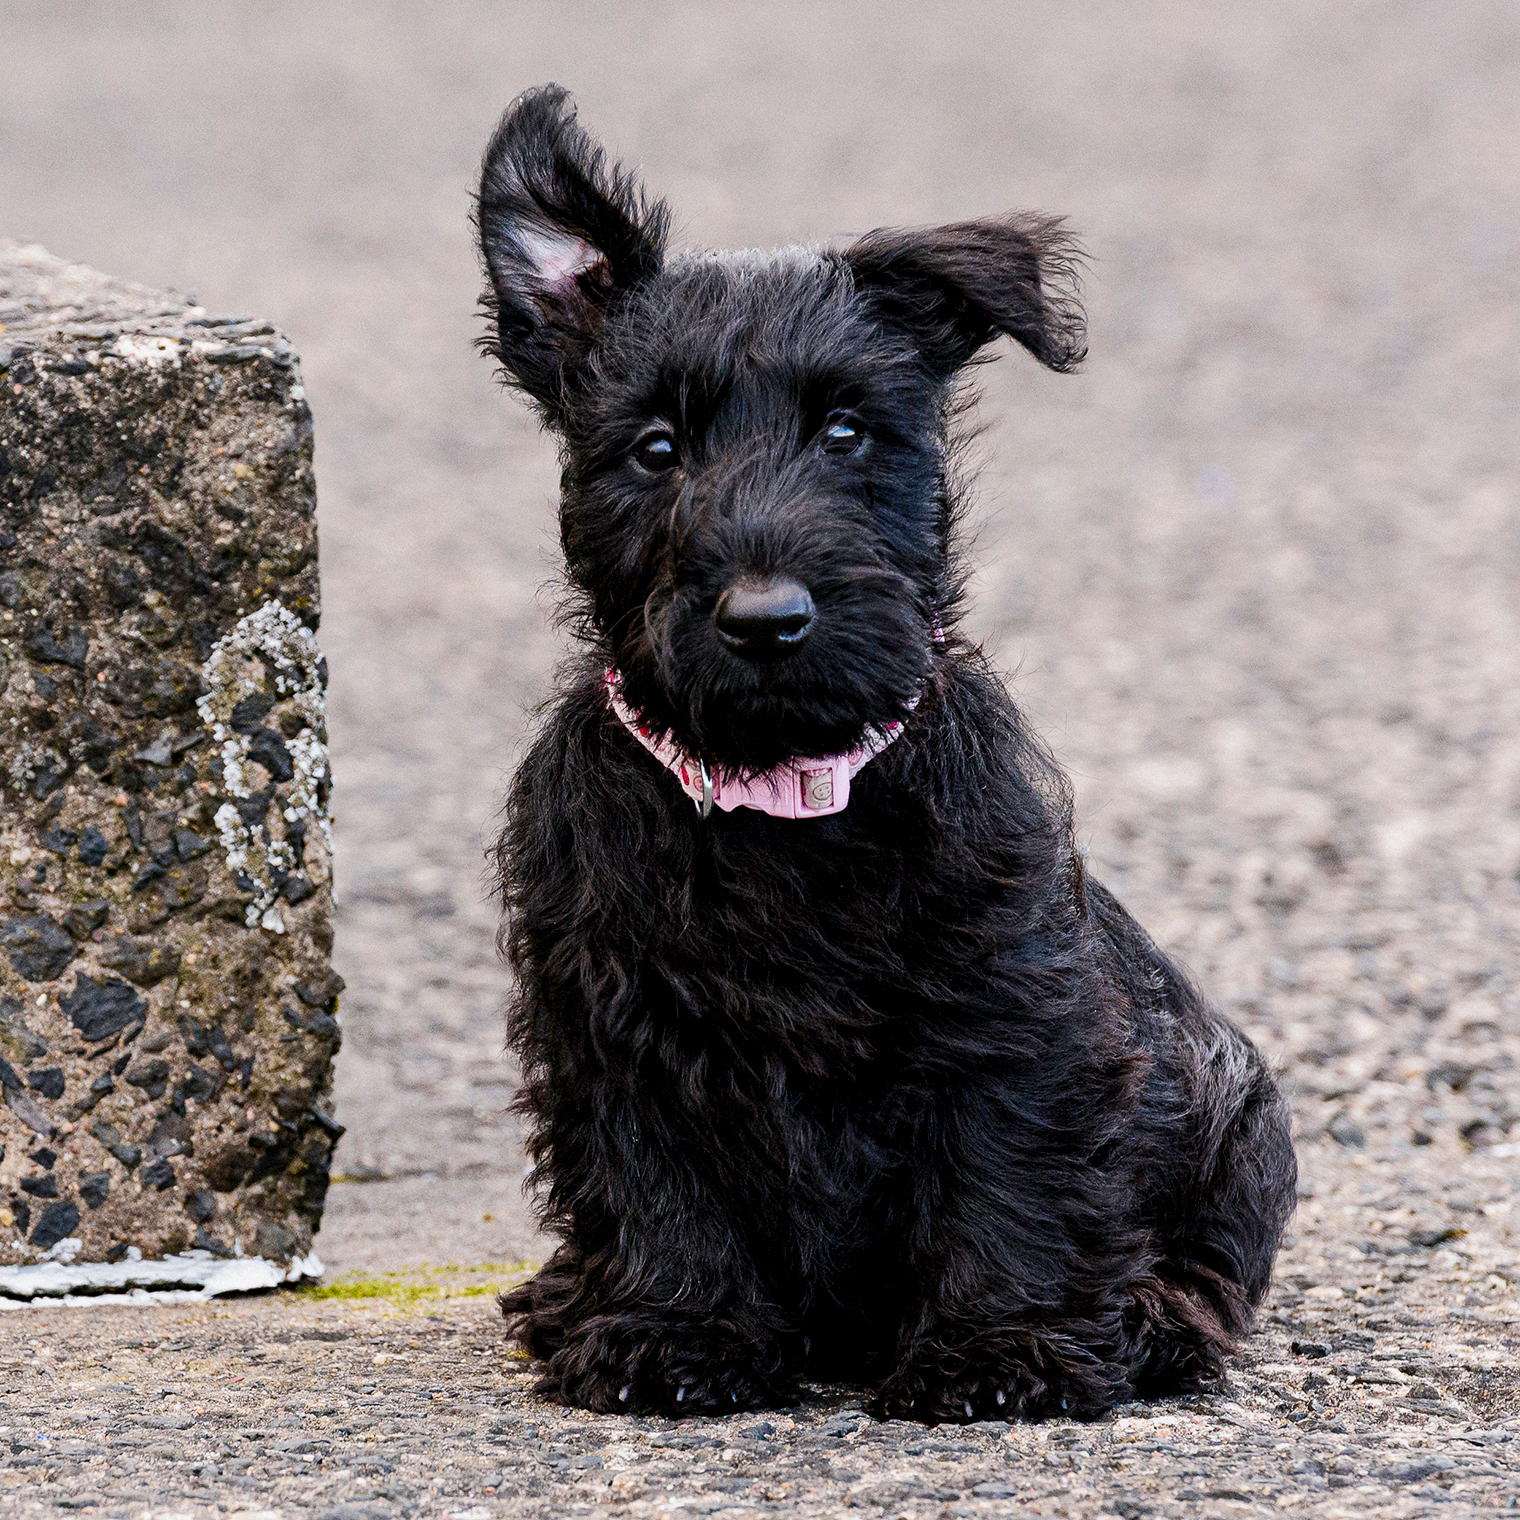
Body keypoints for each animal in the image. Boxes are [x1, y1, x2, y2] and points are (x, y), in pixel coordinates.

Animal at [477, 86, 1295, 1422]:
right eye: (655, 449)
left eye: (849, 430)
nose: (766, 619)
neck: (779, 792)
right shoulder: (610, 1018)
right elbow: (655, 1184)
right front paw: (671, 1330)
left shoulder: (1010, 1007)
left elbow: (1009, 1174)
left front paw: (1000, 1351)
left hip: (1237, 1111)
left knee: (1207, 1263)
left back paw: (1154, 1321)